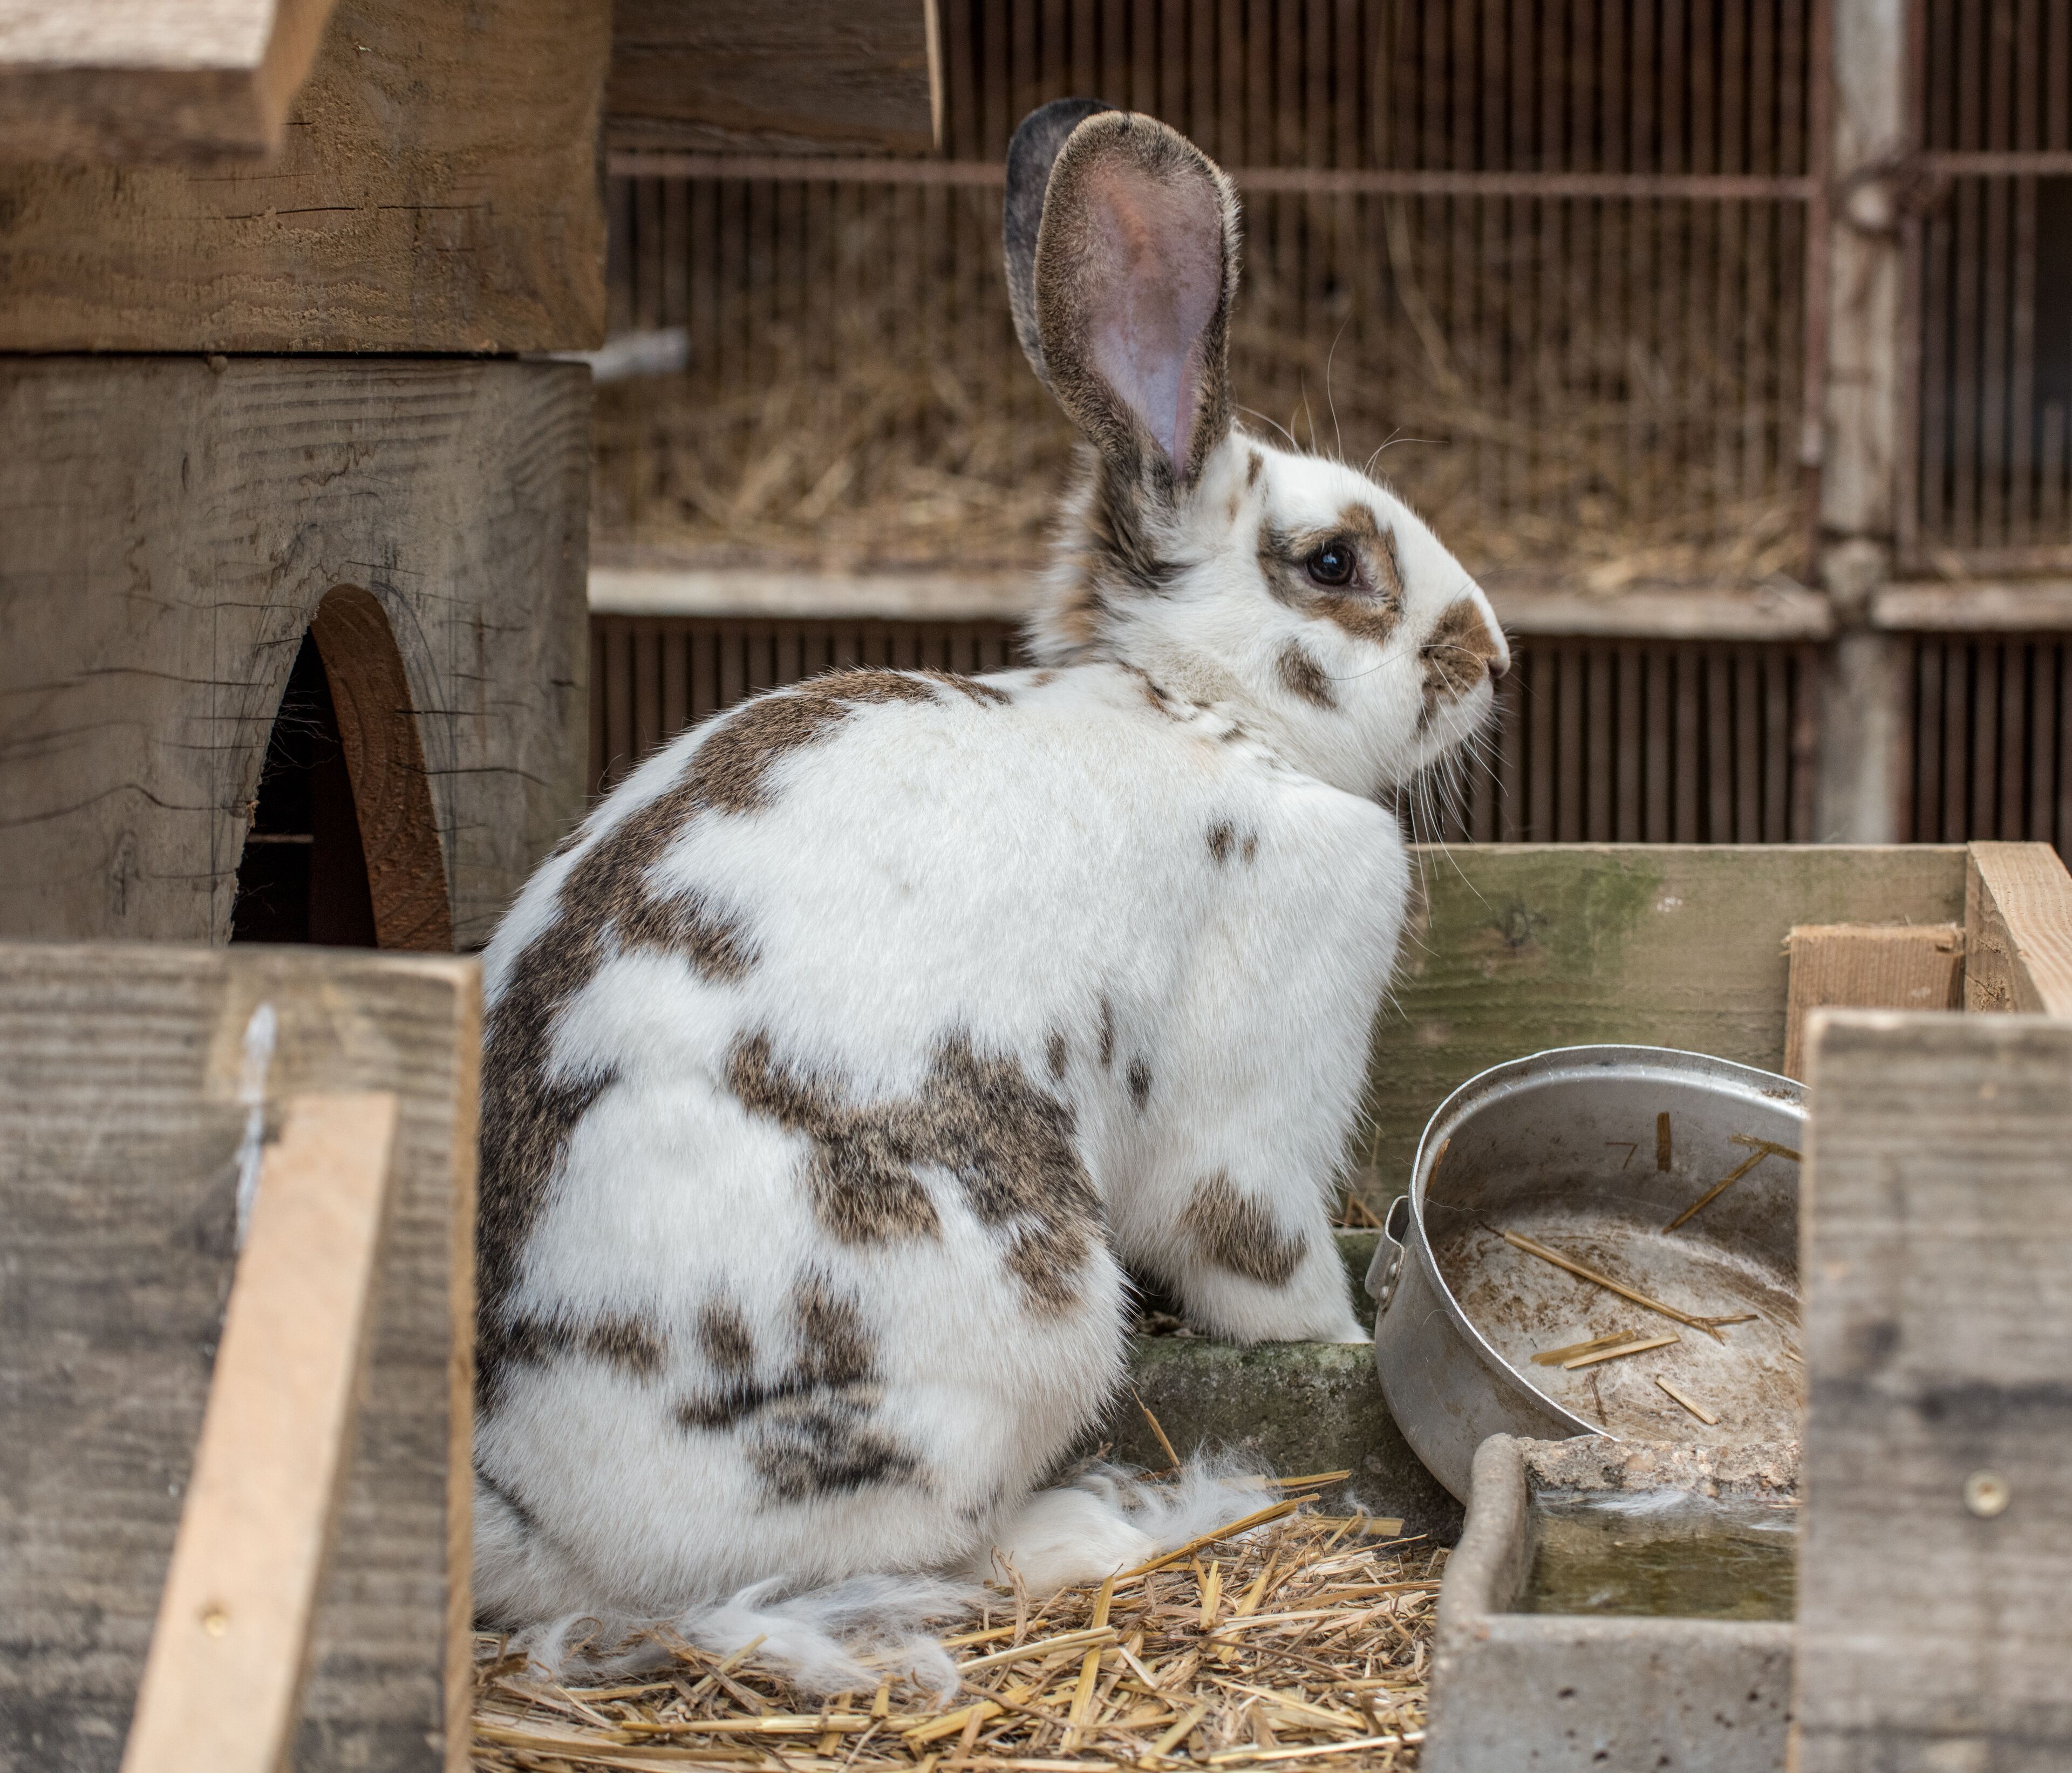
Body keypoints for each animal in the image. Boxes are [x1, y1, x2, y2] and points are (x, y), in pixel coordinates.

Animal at [470, 99, 1508, 1660]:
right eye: (1334, 561)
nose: (1493, 656)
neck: (1191, 708)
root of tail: (519, 1499)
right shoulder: (1251, 1121)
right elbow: (1262, 1259)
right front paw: (1337, 1338)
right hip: (1017, 1312)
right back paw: (1084, 1530)